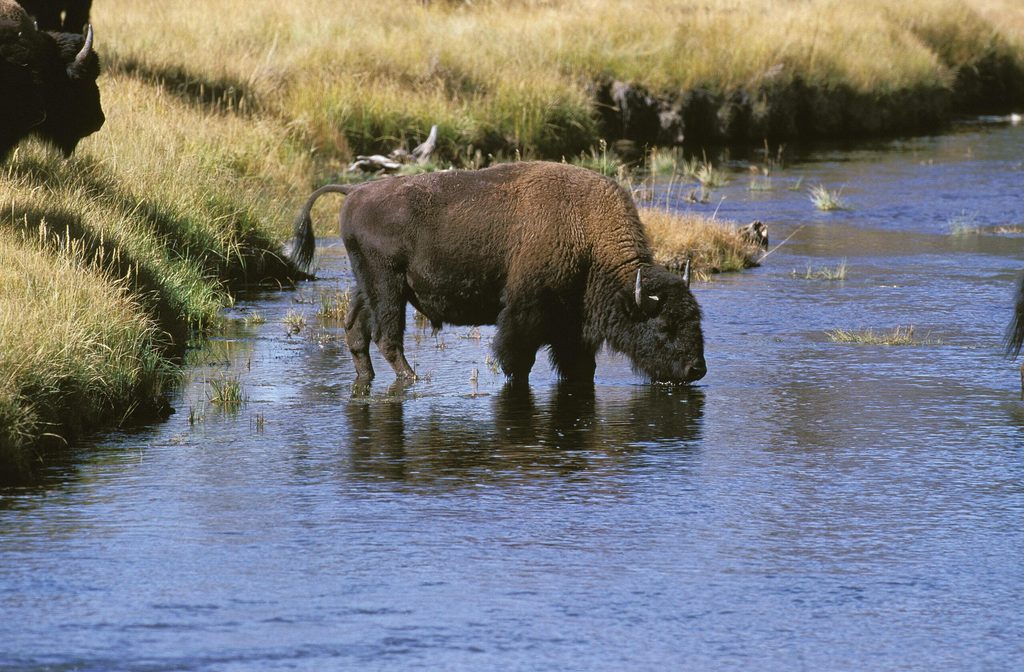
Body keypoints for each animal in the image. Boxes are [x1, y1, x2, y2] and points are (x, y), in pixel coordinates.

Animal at [291, 161, 707, 385]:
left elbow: (579, 366)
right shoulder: (525, 312)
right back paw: (413, 378)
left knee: (355, 330)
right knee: (386, 336)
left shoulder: (572, 327)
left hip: (367, 284)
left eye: (695, 321)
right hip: (387, 284)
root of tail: (354, 192)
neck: (584, 232)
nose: (696, 370)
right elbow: (516, 359)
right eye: (665, 326)